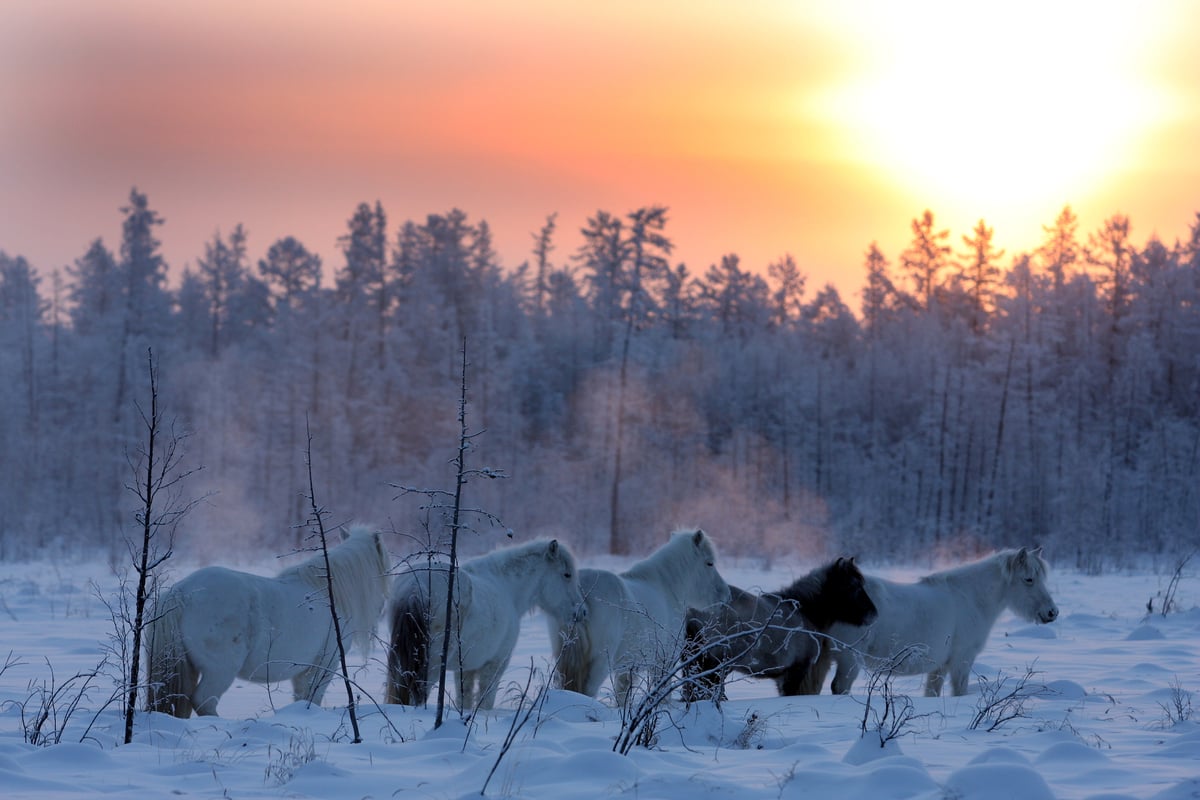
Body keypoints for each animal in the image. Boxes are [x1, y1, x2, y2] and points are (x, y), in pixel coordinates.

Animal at [144, 527, 388, 714]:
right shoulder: (323, 666)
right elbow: (311, 698)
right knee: (204, 701)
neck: (328, 593)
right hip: (220, 670)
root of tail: (182, 592)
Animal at [384, 542, 585, 710]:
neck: (506, 588)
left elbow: (464, 700)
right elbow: (485, 701)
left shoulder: (466, 669)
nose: (581, 612)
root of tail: (414, 587)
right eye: (567, 574)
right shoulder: (495, 664)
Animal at [549, 532, 729, 705]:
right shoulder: (664, 660)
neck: (666, 588)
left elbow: (622, 695)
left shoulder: (627, 667)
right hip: (599, 662)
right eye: (709, 563)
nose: (726, 595)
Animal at [811, 546, 1056, 695]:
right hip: (849, 661)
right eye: (1029, 579)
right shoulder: (961, 662)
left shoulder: (939, 668)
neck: (969, 598)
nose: (1052, 612)